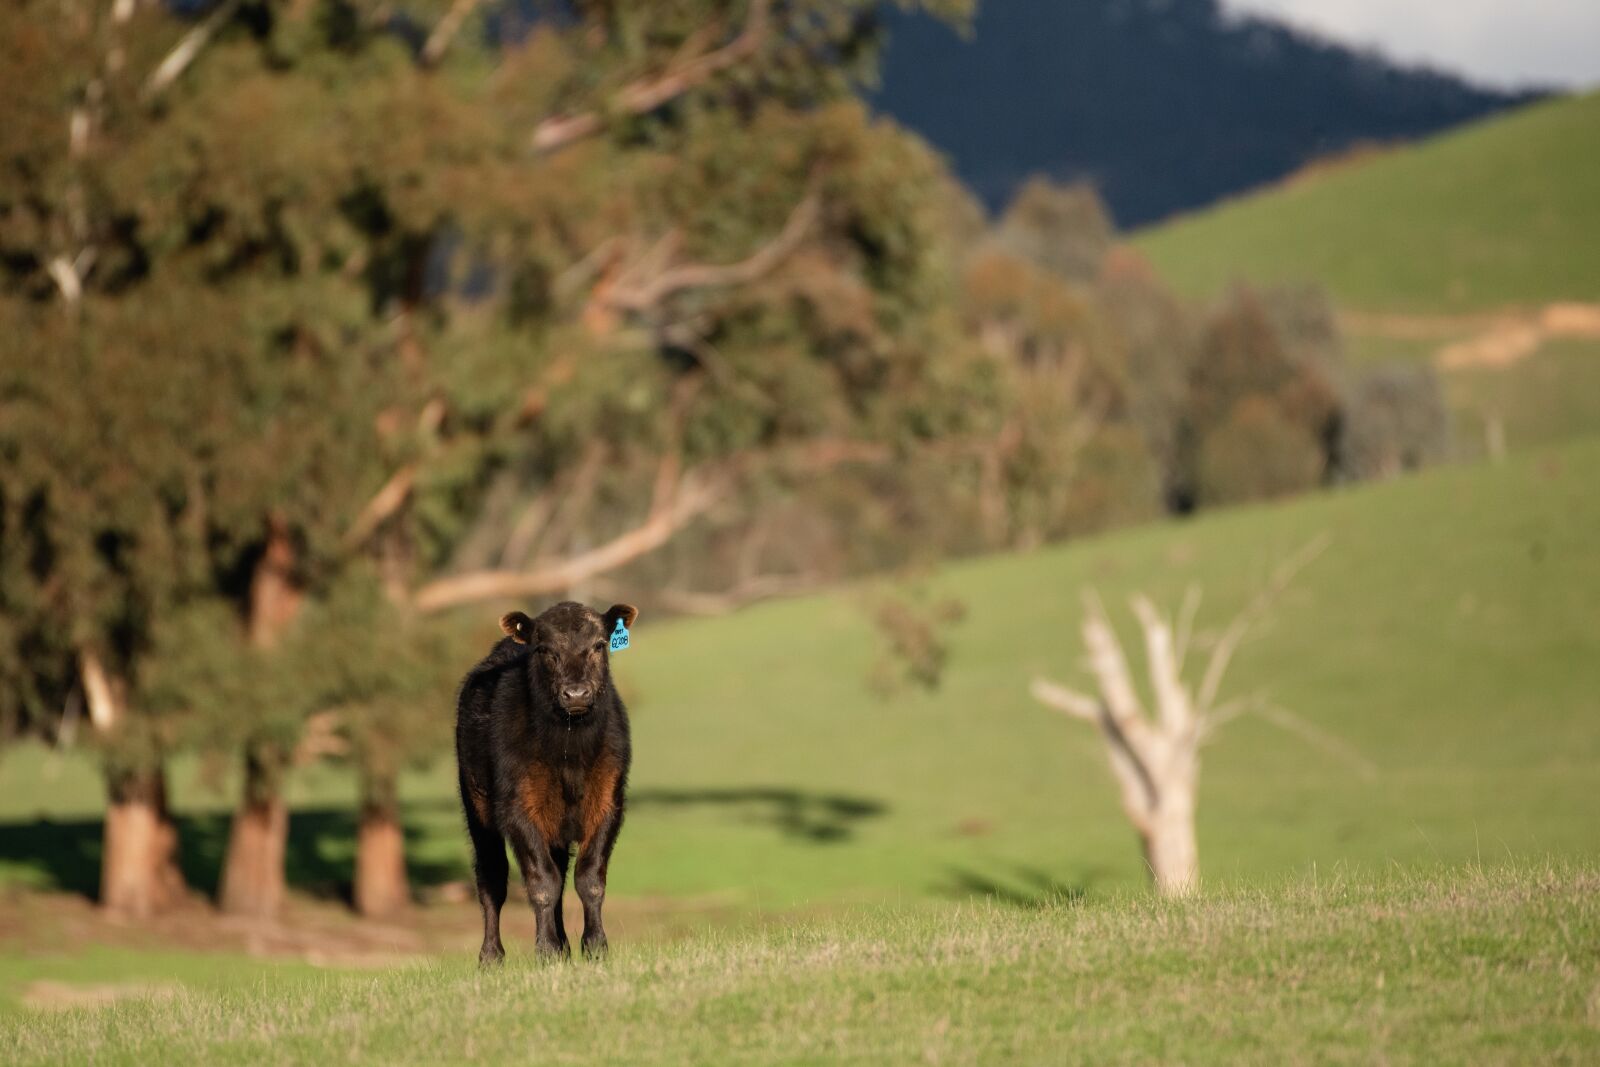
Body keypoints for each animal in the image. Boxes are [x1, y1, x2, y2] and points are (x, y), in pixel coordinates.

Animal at [455, 600, 637, 964]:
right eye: (545, 649)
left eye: (599, 645)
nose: (576, 693)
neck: (569, 751)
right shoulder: (518, 809)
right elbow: (541, 883)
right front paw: (546, 950)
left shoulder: (609, 802)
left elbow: (589, 878)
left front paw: (595, 946)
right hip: (477, 806)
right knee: (492, 878)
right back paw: (491, 956)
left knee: (561, 873)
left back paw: (564, 944)